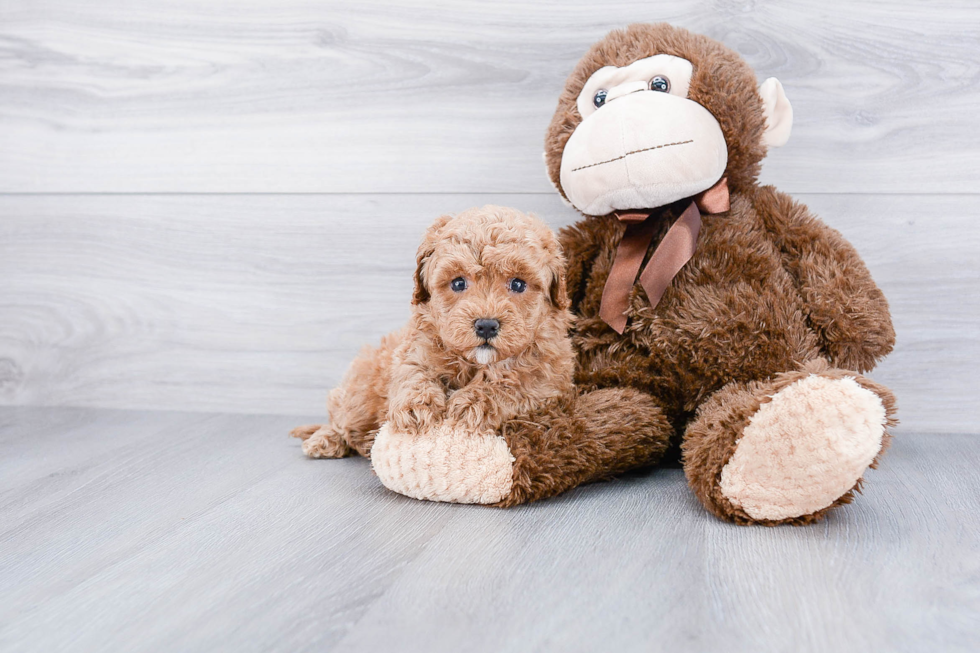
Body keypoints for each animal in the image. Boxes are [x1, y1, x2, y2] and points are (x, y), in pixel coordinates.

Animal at [294, 206, 580, 460]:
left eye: (518, 284)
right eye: (458, 283)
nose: (486, 325)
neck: (475, 363)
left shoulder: (548, 381)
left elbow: (516, 384)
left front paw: (473, 403)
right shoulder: (413, 348)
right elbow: (413, 372)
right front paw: (415, 407)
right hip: (359, 393)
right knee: (341, 419)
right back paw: (325, 440)